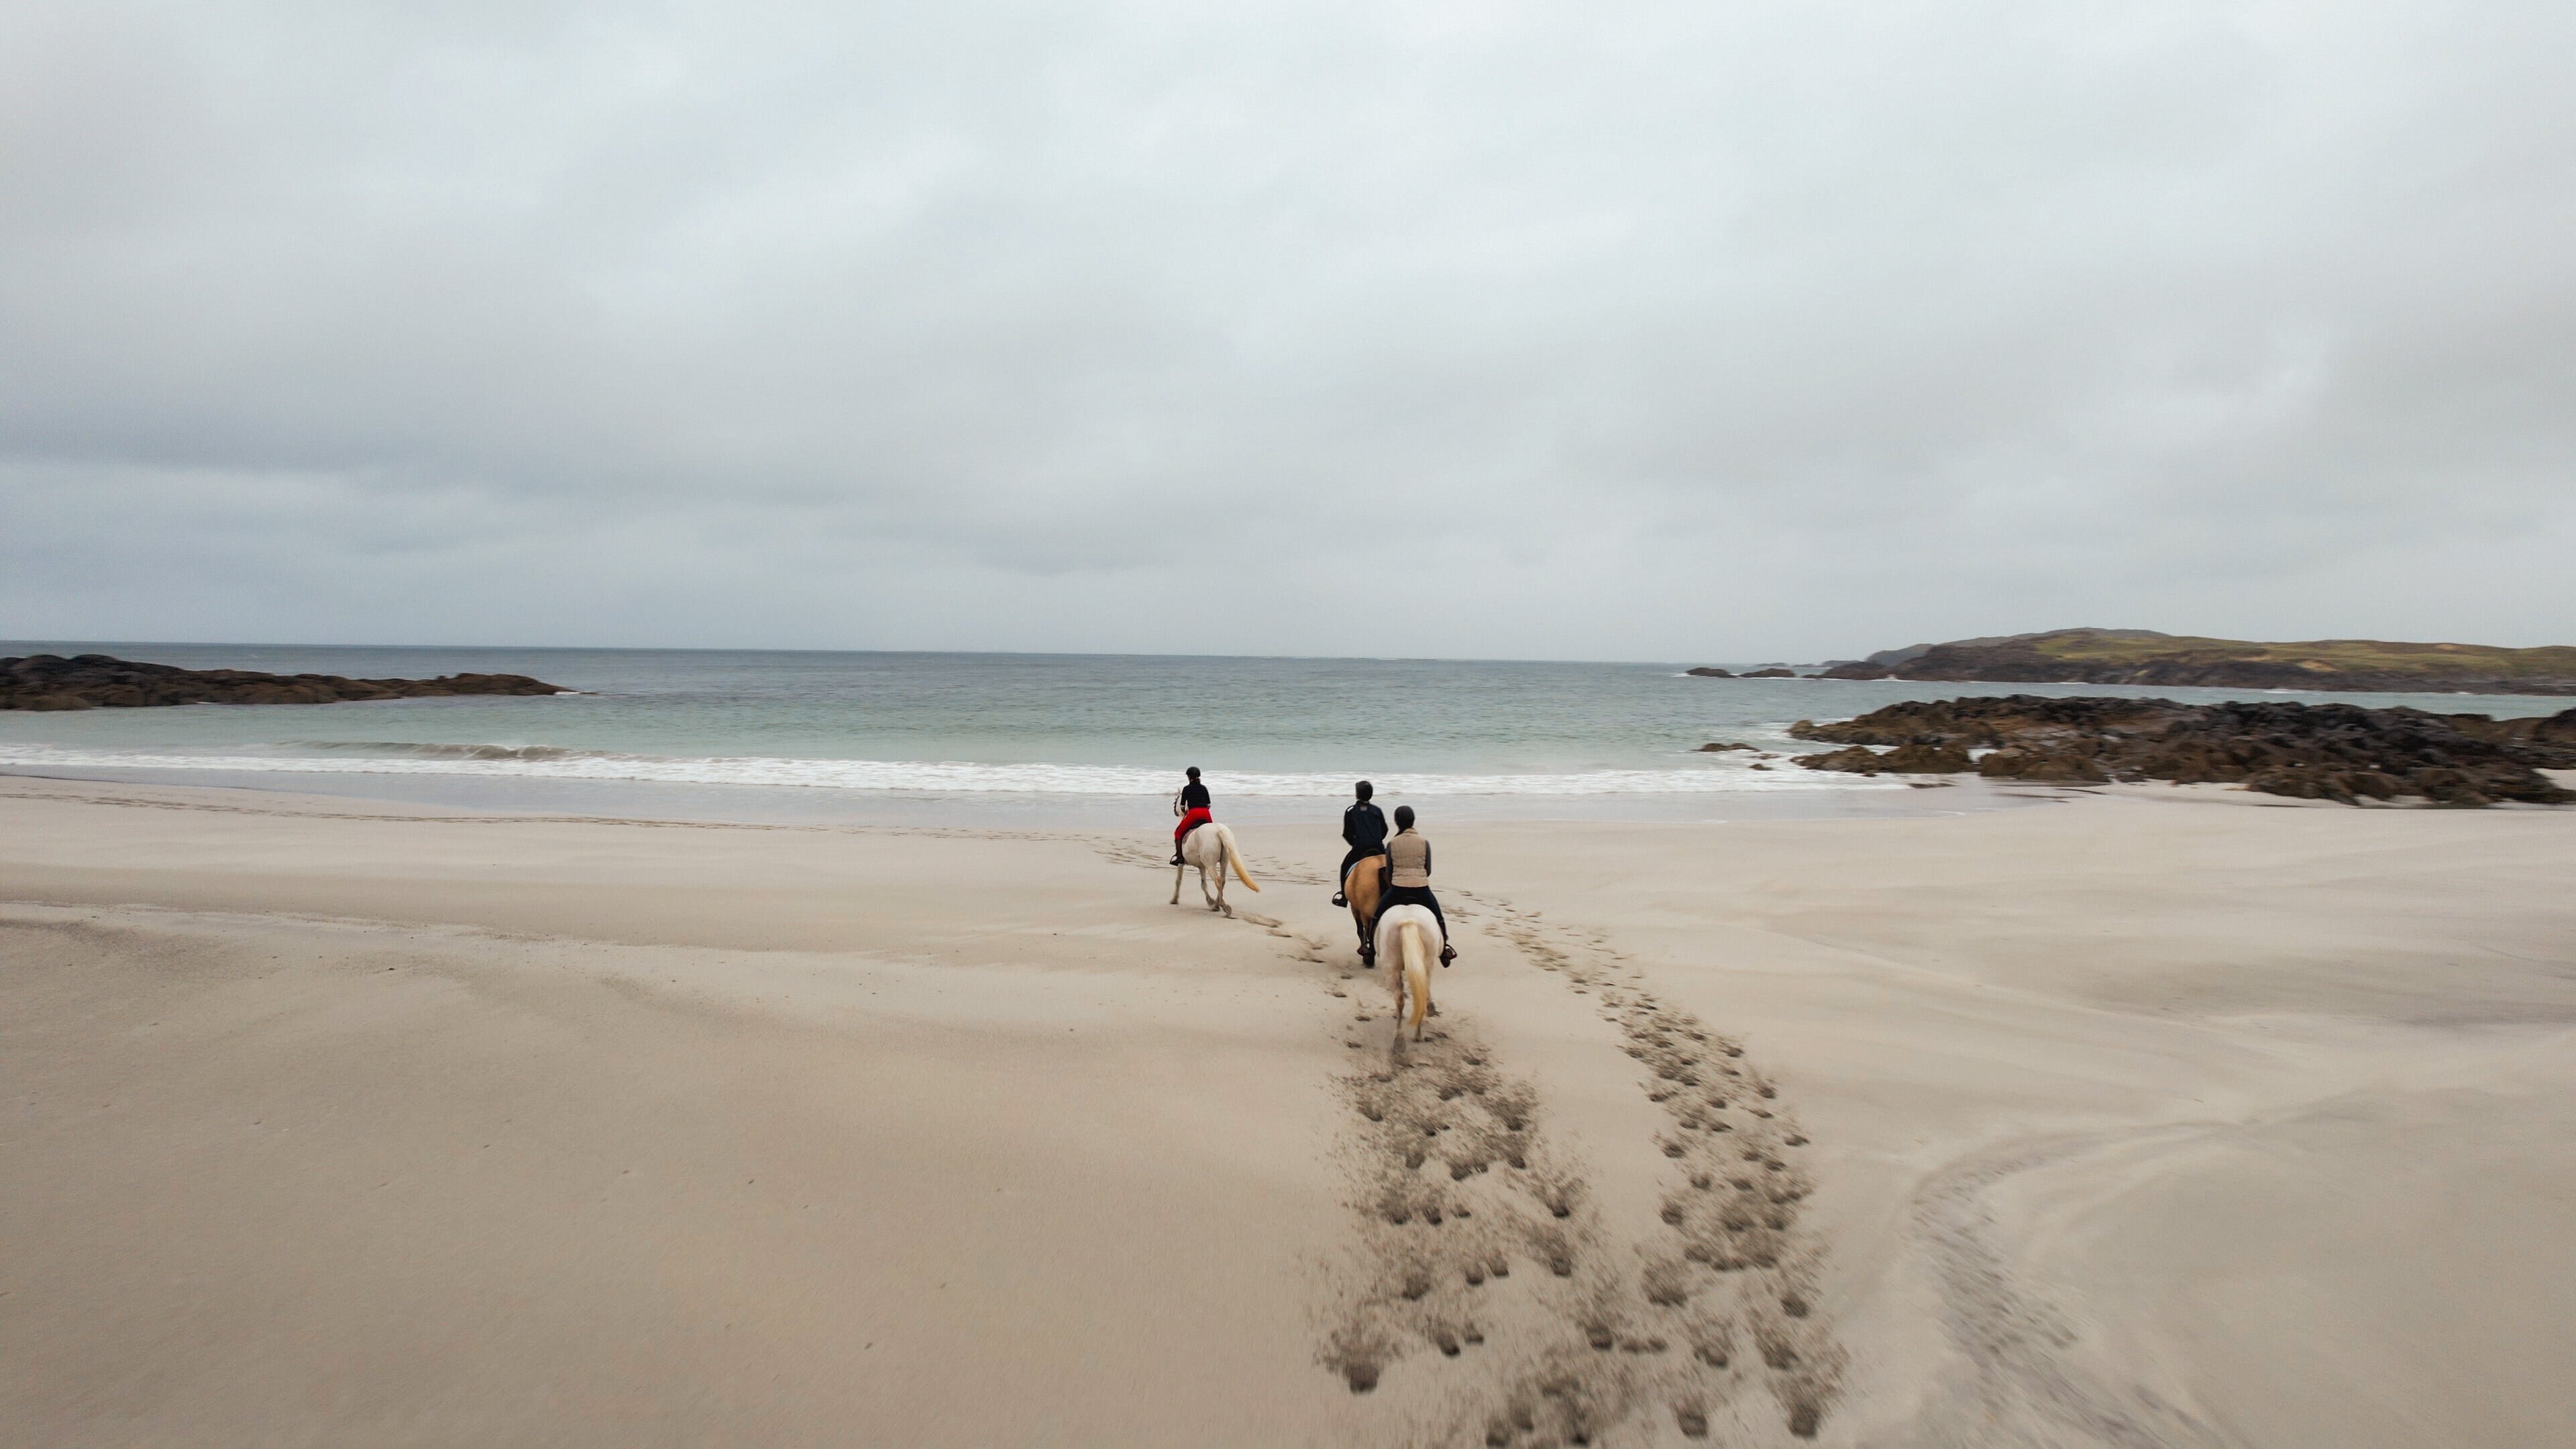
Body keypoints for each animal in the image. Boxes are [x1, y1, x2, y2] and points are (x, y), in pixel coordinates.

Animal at [1169, 824, 1256, 912]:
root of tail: (1218, 830)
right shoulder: (1201, 867)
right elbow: (1203, 885)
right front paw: (1210, 901)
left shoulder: (1181, 864)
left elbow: (1178, 881)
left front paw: (1174, 900)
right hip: (1224, 862)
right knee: (1222, 880)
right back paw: (1217, 905)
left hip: (1210, 865)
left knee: (1218, 880)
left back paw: (1222, 905)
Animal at [1370, 902, 1452, 1036]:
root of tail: (1409, 921)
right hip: (1423, 965)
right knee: (1418, 995)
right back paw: (1415, 1034)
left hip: (1391, 967)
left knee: (1400, 998)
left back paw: (1401, 1035)